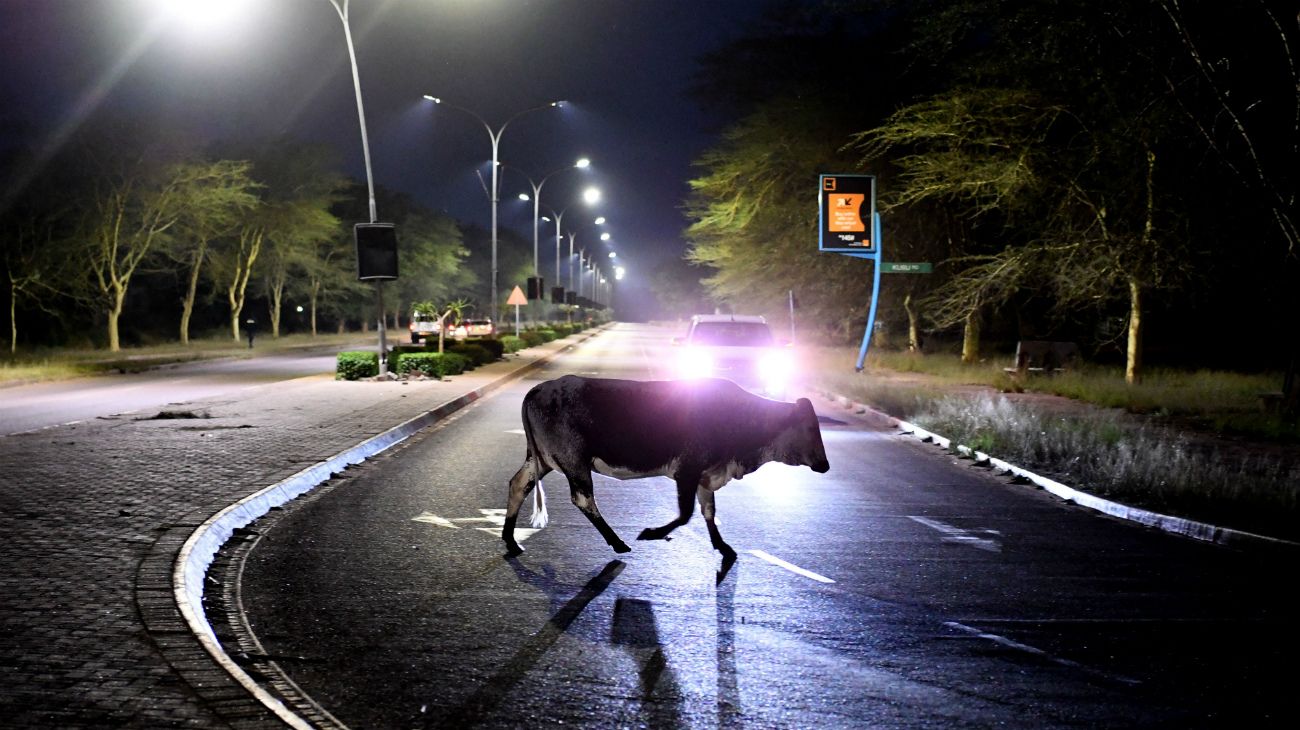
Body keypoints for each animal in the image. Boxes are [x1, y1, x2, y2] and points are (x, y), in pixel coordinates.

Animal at [501, 374, 826, 555]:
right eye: (811, 428)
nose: (824, 465)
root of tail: (539, 389)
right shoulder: (688, 470)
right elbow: (686, 514)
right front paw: (652, 533)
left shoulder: (705, 475)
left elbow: (709, 511)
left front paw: (722, 546)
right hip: (573, 460)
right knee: (583, 498)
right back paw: (618, 542)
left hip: (542, 459)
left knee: (519, 484)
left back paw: (511, 541)